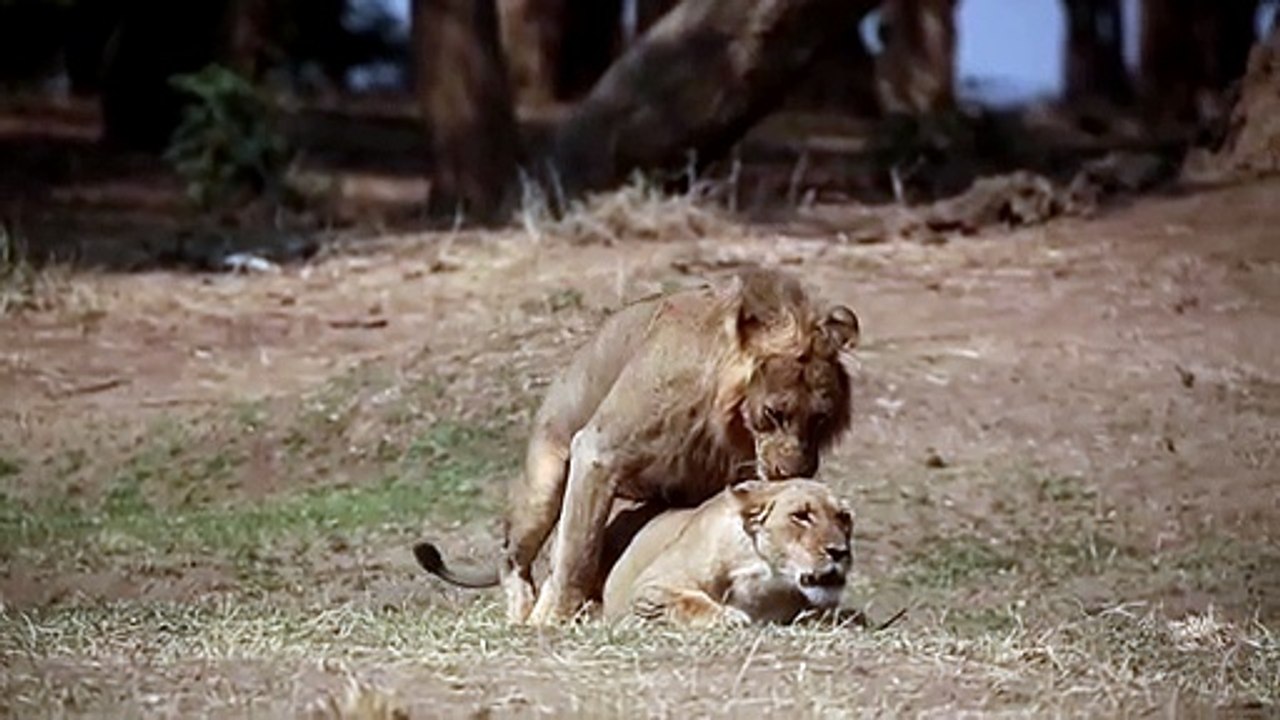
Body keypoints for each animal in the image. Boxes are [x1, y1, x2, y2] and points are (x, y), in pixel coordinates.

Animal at [421, 268, 860, 625]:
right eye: (772, 412)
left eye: (821, 418)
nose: (796, 471)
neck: (724, 422)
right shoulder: (597, 453)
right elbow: (577, 552)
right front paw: (556, 619)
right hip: (543, 485)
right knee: (513, 558)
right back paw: (525, 611)